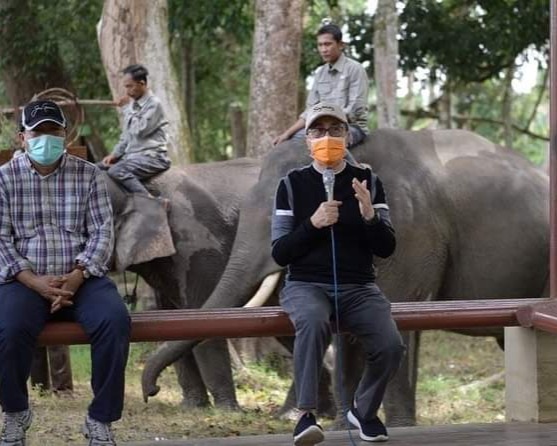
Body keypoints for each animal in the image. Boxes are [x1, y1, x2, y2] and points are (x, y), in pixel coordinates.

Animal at [104, 159, 260, 410]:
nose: (152, 391)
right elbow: (171, 318)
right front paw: (193, 406)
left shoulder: (197, 243)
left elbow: (201, 318)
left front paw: (227, 410)